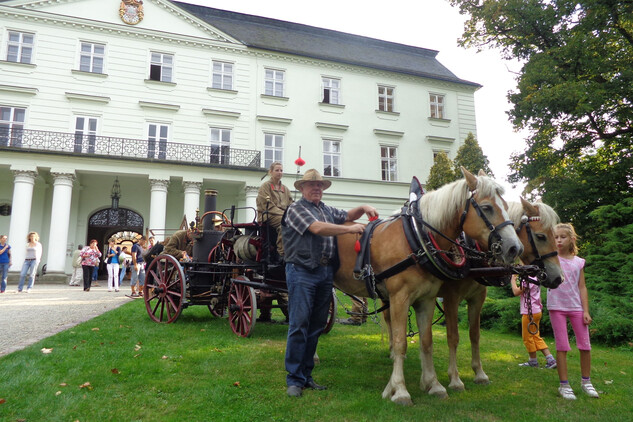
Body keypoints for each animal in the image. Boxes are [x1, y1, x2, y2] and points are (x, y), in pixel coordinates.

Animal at [334, 168, 520, 406]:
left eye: (506, 206)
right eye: (487, 207)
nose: (514, 248)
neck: (417, 239)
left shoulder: (428, 299)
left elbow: (427, 341)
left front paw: (433, 384)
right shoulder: (403, 298)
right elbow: (402, 341)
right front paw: (400, 390)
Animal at [436, 199, 560, 390]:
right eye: (541, 236)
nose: (558, 277)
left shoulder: (477, 298)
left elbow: (474, 334)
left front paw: (479, 373)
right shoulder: (450, 299)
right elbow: (453, 337)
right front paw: (455, 379)